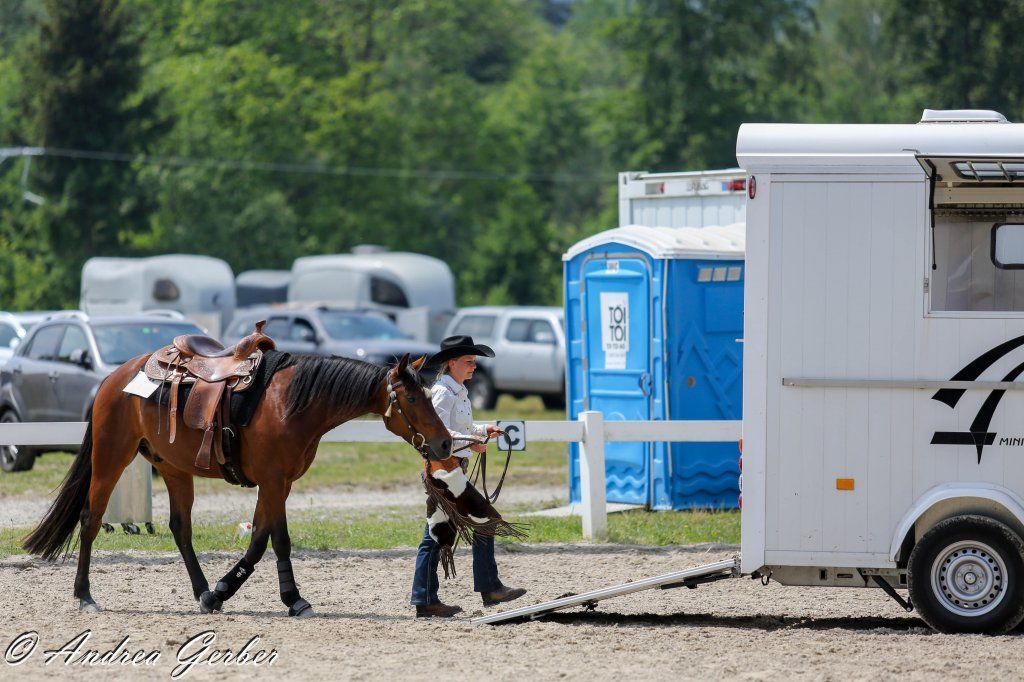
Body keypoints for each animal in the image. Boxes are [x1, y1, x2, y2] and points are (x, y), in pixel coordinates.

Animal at [22, 351, 453, 617]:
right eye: (412, 399)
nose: (445, 442)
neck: (292, 403)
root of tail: (115, 378)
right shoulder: (274, 481)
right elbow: (277, 540)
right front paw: (288, 598)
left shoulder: (279, 484)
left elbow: (261, 538)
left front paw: (226, 592)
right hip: (112, 456)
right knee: (90, 519)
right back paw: (85, 596)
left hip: (174, 469)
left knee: (180, 529)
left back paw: (201, 592)